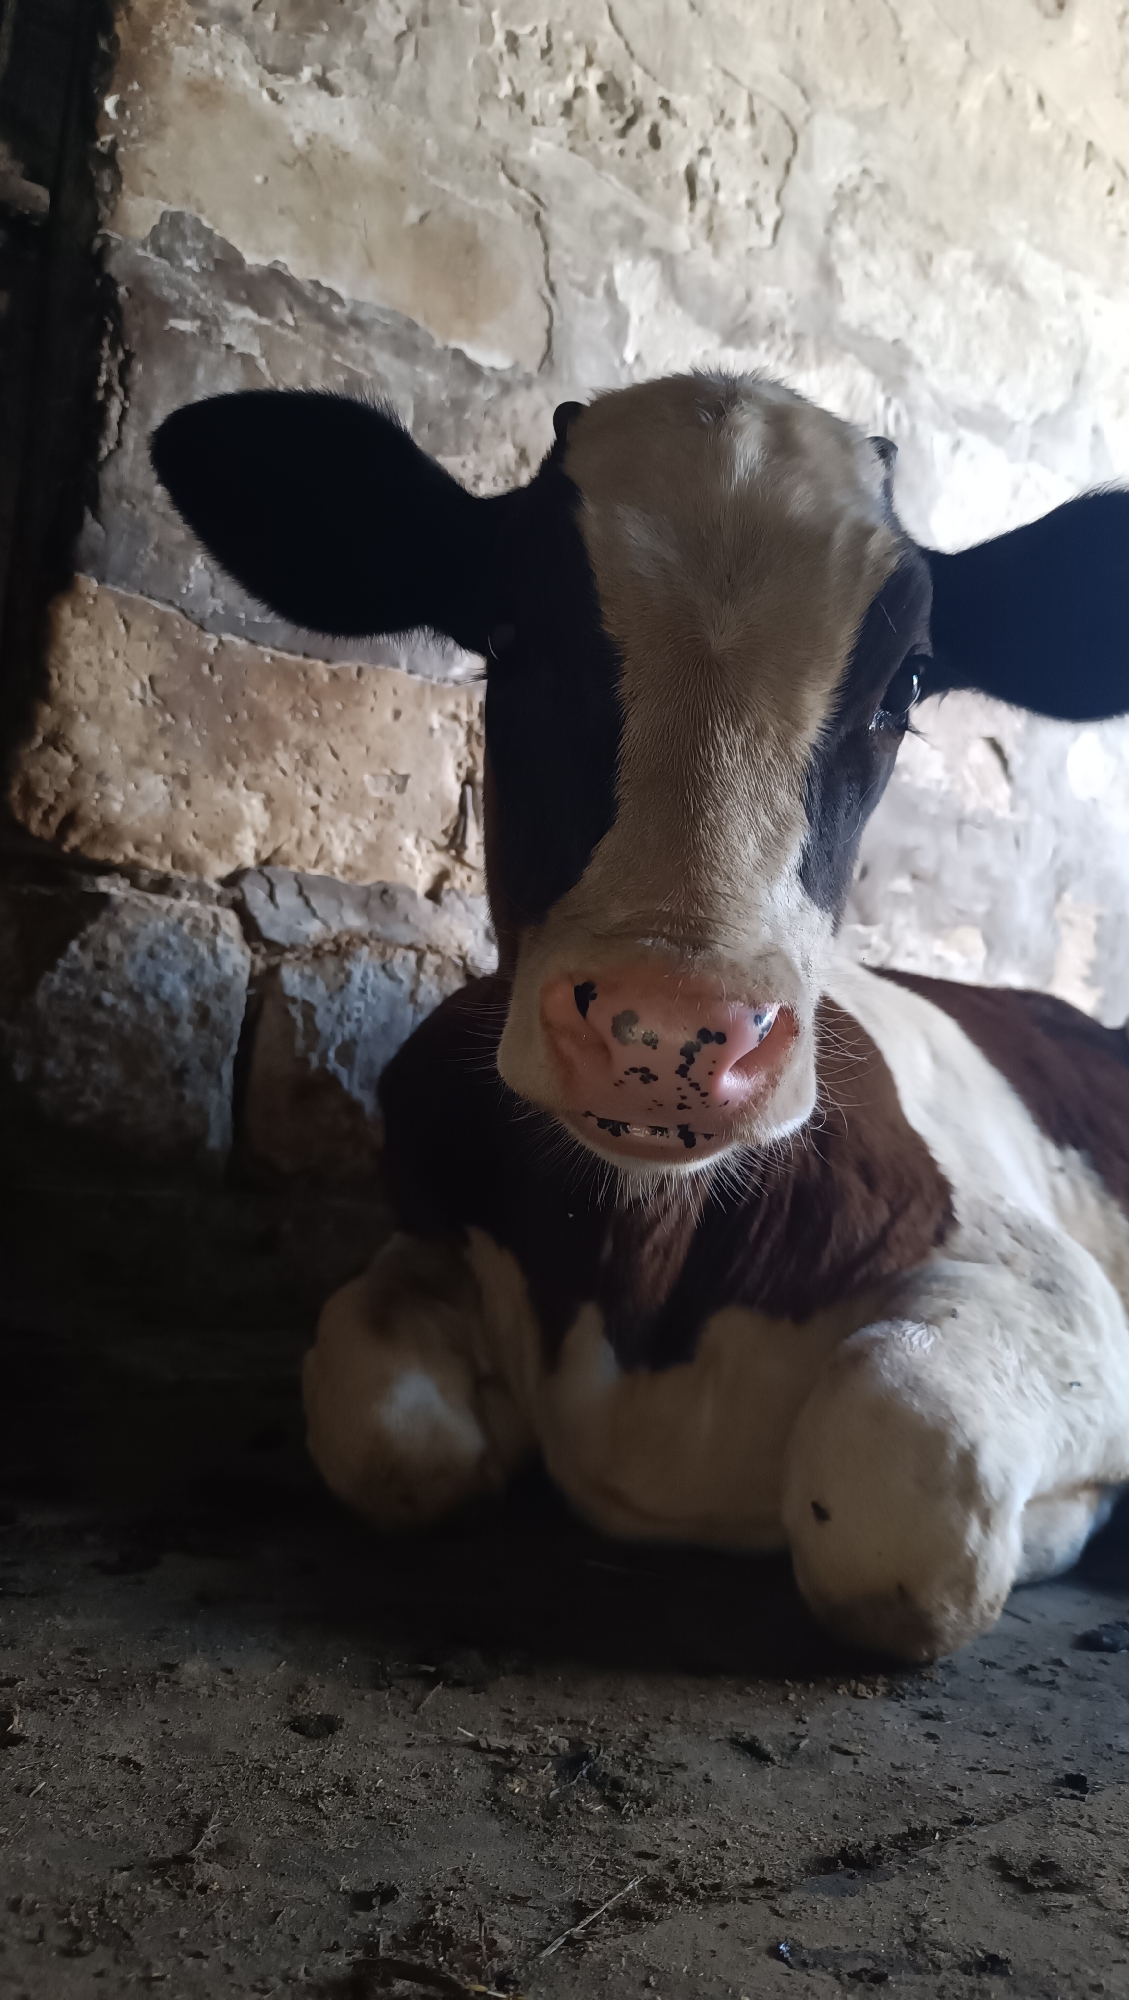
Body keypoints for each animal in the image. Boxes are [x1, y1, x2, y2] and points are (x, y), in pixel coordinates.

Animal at [152, 373, 1129, 1661]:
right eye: (507, 632)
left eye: (907, 684)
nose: (669, 1028)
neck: (640, 1293)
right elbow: (383, 1420)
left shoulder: (1052, 1297)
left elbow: (897, 1474)